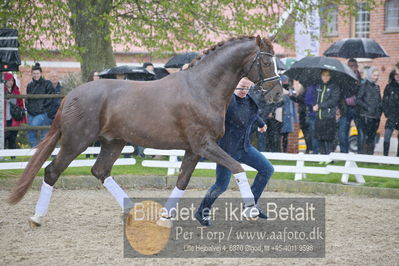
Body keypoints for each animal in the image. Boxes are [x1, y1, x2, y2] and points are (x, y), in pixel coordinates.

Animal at [7, 35, 282, 225]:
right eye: (266, 60)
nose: (278, 94)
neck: (202, 88)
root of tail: (71, 95)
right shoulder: (204, 145)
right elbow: (237, 168)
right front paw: (251, 210)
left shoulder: (194, 149)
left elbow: (182, 181)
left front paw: (164, 218)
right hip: (77, 141)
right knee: (52, 171)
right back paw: (37, 218)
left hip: (113, 142)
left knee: (100, 170)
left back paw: (133, 211)